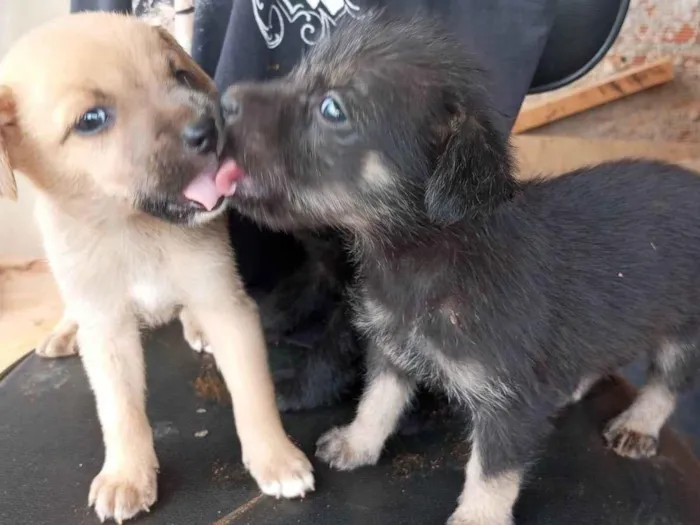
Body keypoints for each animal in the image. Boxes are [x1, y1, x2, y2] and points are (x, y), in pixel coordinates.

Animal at [0, 13, 314, 524]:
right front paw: (127, 475)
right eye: (91, 120)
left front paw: (276, 458)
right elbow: (120, 411)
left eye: (179, 75)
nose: (212, 126)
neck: (132, 228)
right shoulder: (108, 330)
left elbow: (253, 392)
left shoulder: (226, 303)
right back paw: (64, 330)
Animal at [221, 12, 700, 524]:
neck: (424, 256)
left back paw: (638, 423)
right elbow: (377, 401)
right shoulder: (391, 347)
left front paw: (477, 518)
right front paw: (357, 443)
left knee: (668, 382)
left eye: (333, 109)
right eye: (296, 75)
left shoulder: (510, 404)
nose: (222, 102)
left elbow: (491, 474)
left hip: (684, 334)